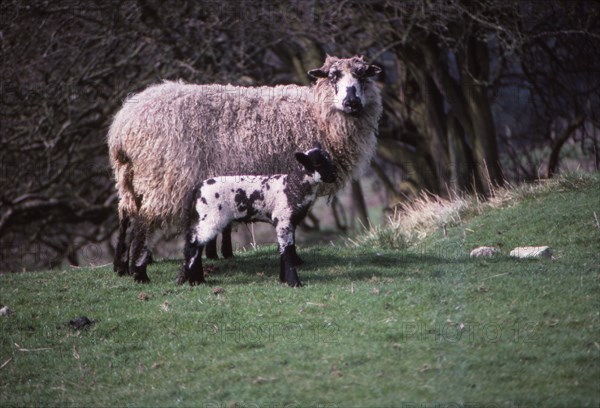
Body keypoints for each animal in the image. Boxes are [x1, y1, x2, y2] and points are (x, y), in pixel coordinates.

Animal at [178, 146, 338, 286]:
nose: (334, 176)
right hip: (210, 218)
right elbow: (287, 250)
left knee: (194, 245)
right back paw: (190, 280)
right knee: (192, 245)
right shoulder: (283, 220)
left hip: (202, 219)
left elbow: (285, 249)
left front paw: (283, 279)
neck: (293, 185)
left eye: (329, 158)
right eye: (317, 163)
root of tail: (197, 188)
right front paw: (294, 282)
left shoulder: (288, 222)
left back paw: (197, 280)